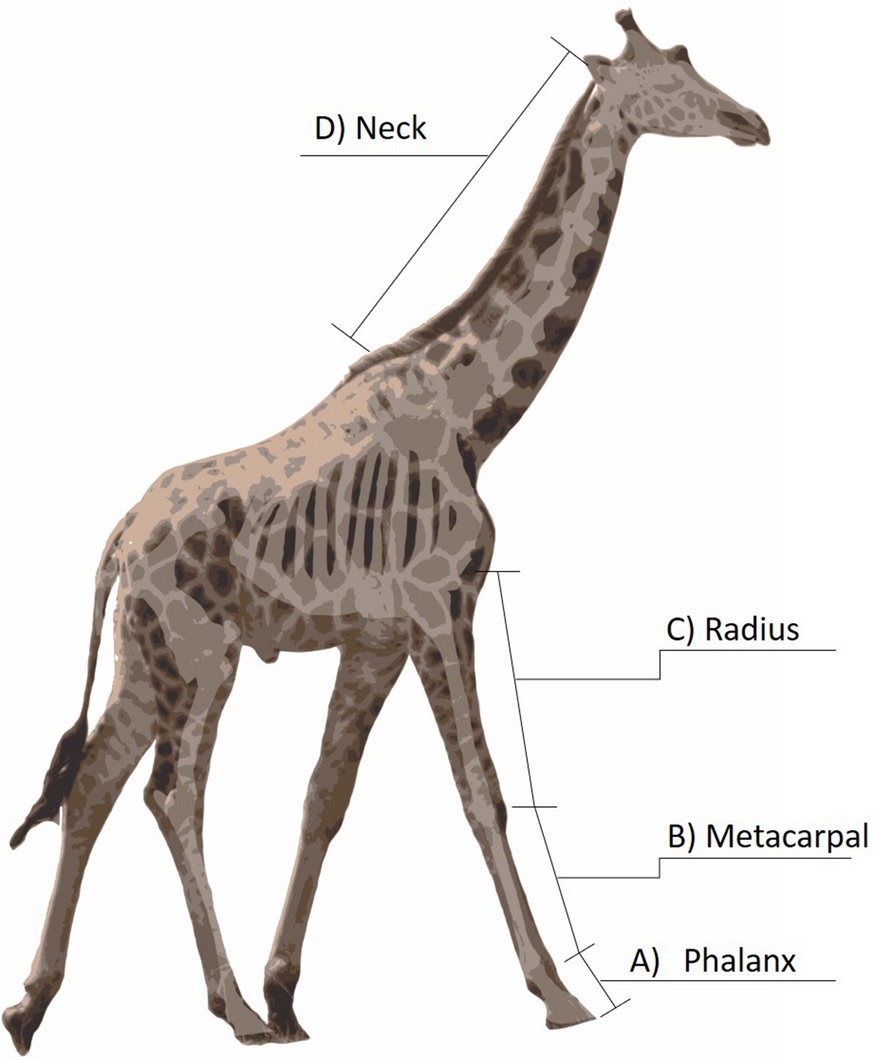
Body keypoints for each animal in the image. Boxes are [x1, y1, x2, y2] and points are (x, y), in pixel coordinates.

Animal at [3, 10, 769, 1053]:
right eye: (664, 80)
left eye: (691, 64)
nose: (750, 122)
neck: (474, 412)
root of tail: (120, 534)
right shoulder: (442, 606)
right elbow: (482, 792)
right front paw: (557, 994)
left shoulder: (374, 640)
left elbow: (325, 797)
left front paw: (290, 991)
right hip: (203, 654)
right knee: (172, 793)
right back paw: (230, 1007)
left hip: (144, 654)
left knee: (92, 785)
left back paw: (34, 1006)